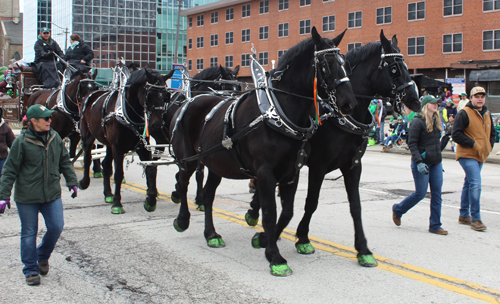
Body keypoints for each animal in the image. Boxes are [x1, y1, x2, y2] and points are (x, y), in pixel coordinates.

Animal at [80, 68, 176, 214]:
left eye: (166, 95)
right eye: (149, 95)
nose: (157, 125)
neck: (128, 115)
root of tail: (90, 95)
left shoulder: (143, 147)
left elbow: (151, 170)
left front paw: (150, 201)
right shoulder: (118, 148)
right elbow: (119, 174)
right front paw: (117, 204)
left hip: (109, 145)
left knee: (106, 165)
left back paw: (108, 194)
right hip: (88, 135)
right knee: (87, 156)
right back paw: (85, 182)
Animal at [170, 27, 358, 276]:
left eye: (346, 63)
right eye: (327, 63)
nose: (349, 104)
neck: (279, 111)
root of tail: (187, 102)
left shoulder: (292, 172)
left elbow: (287, 212)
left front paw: (265, 242)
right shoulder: (265, 173)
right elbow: (270, 213)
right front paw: (275, 257)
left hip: (216, 164)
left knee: (208, 196)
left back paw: (211, 234)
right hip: (189, 160)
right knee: (182, 183)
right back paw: (182, 220)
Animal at [246, 29, 422, 266]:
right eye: (394, 68)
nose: (415, 101)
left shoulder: (353, 166)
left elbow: (356, 206)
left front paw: (363, 249)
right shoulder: (318, 166)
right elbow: (311, 202)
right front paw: (301, 237)